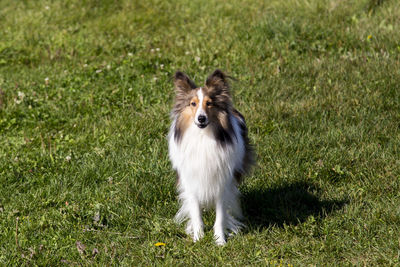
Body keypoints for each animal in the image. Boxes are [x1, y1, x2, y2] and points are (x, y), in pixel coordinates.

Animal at [168, 69, 255, 247]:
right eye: (192, 104)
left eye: (209, 103)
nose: (201, 118)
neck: (203, 136)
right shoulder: (191, 181)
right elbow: (196, 213)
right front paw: (198, 238)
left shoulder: (222, 182)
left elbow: (220, 215)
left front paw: (220, 240)